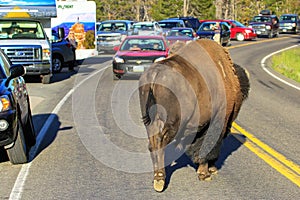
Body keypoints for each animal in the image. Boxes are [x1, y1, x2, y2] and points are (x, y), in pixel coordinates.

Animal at [139, 39, 251, 192]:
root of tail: (155, 73)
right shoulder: (215, 122)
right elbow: (207, 147)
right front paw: (205, 173)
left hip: (149, 122)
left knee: (152, 144)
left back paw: (157, 178)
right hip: (172, 123)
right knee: (160, 142)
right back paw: (160, 180)